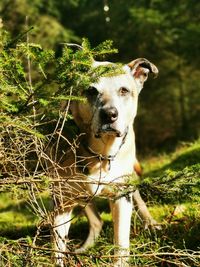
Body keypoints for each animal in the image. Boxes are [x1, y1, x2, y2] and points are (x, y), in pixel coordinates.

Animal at [50, 57, 159, 266]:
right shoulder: (62, 200)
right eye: (91, 90)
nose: (109, 114)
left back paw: (150, 223)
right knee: (96, 220)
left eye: (124, 90)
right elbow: (57, 245)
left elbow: (121, 239)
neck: (100, 152)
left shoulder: (121, 195)